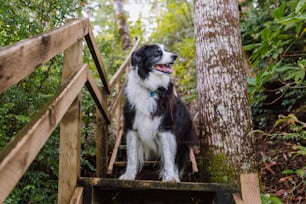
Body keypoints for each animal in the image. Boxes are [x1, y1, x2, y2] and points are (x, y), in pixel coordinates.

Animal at [118, 43, 195, 181]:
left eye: (167, 50)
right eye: (158, 52)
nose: (175, 56)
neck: (150, 89)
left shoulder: (165, 127)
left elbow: (169, 157)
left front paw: (171, 178)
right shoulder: (131, 126)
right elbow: (131, 156)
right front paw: (129, 176)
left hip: (181, 138)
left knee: (177, 159)